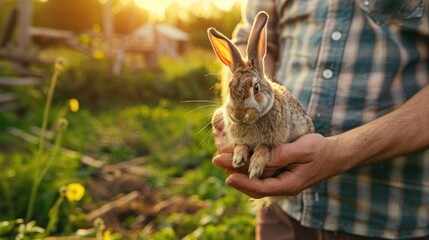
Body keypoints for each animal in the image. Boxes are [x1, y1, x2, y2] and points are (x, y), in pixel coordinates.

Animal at [207, 11, 314, 180]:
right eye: (230, 88)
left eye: (256, 88)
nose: (238, 114)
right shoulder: (242, 140)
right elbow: (242, 144)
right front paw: (238, 158)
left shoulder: (273, 141)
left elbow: (263, 147)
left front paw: (255, 169)